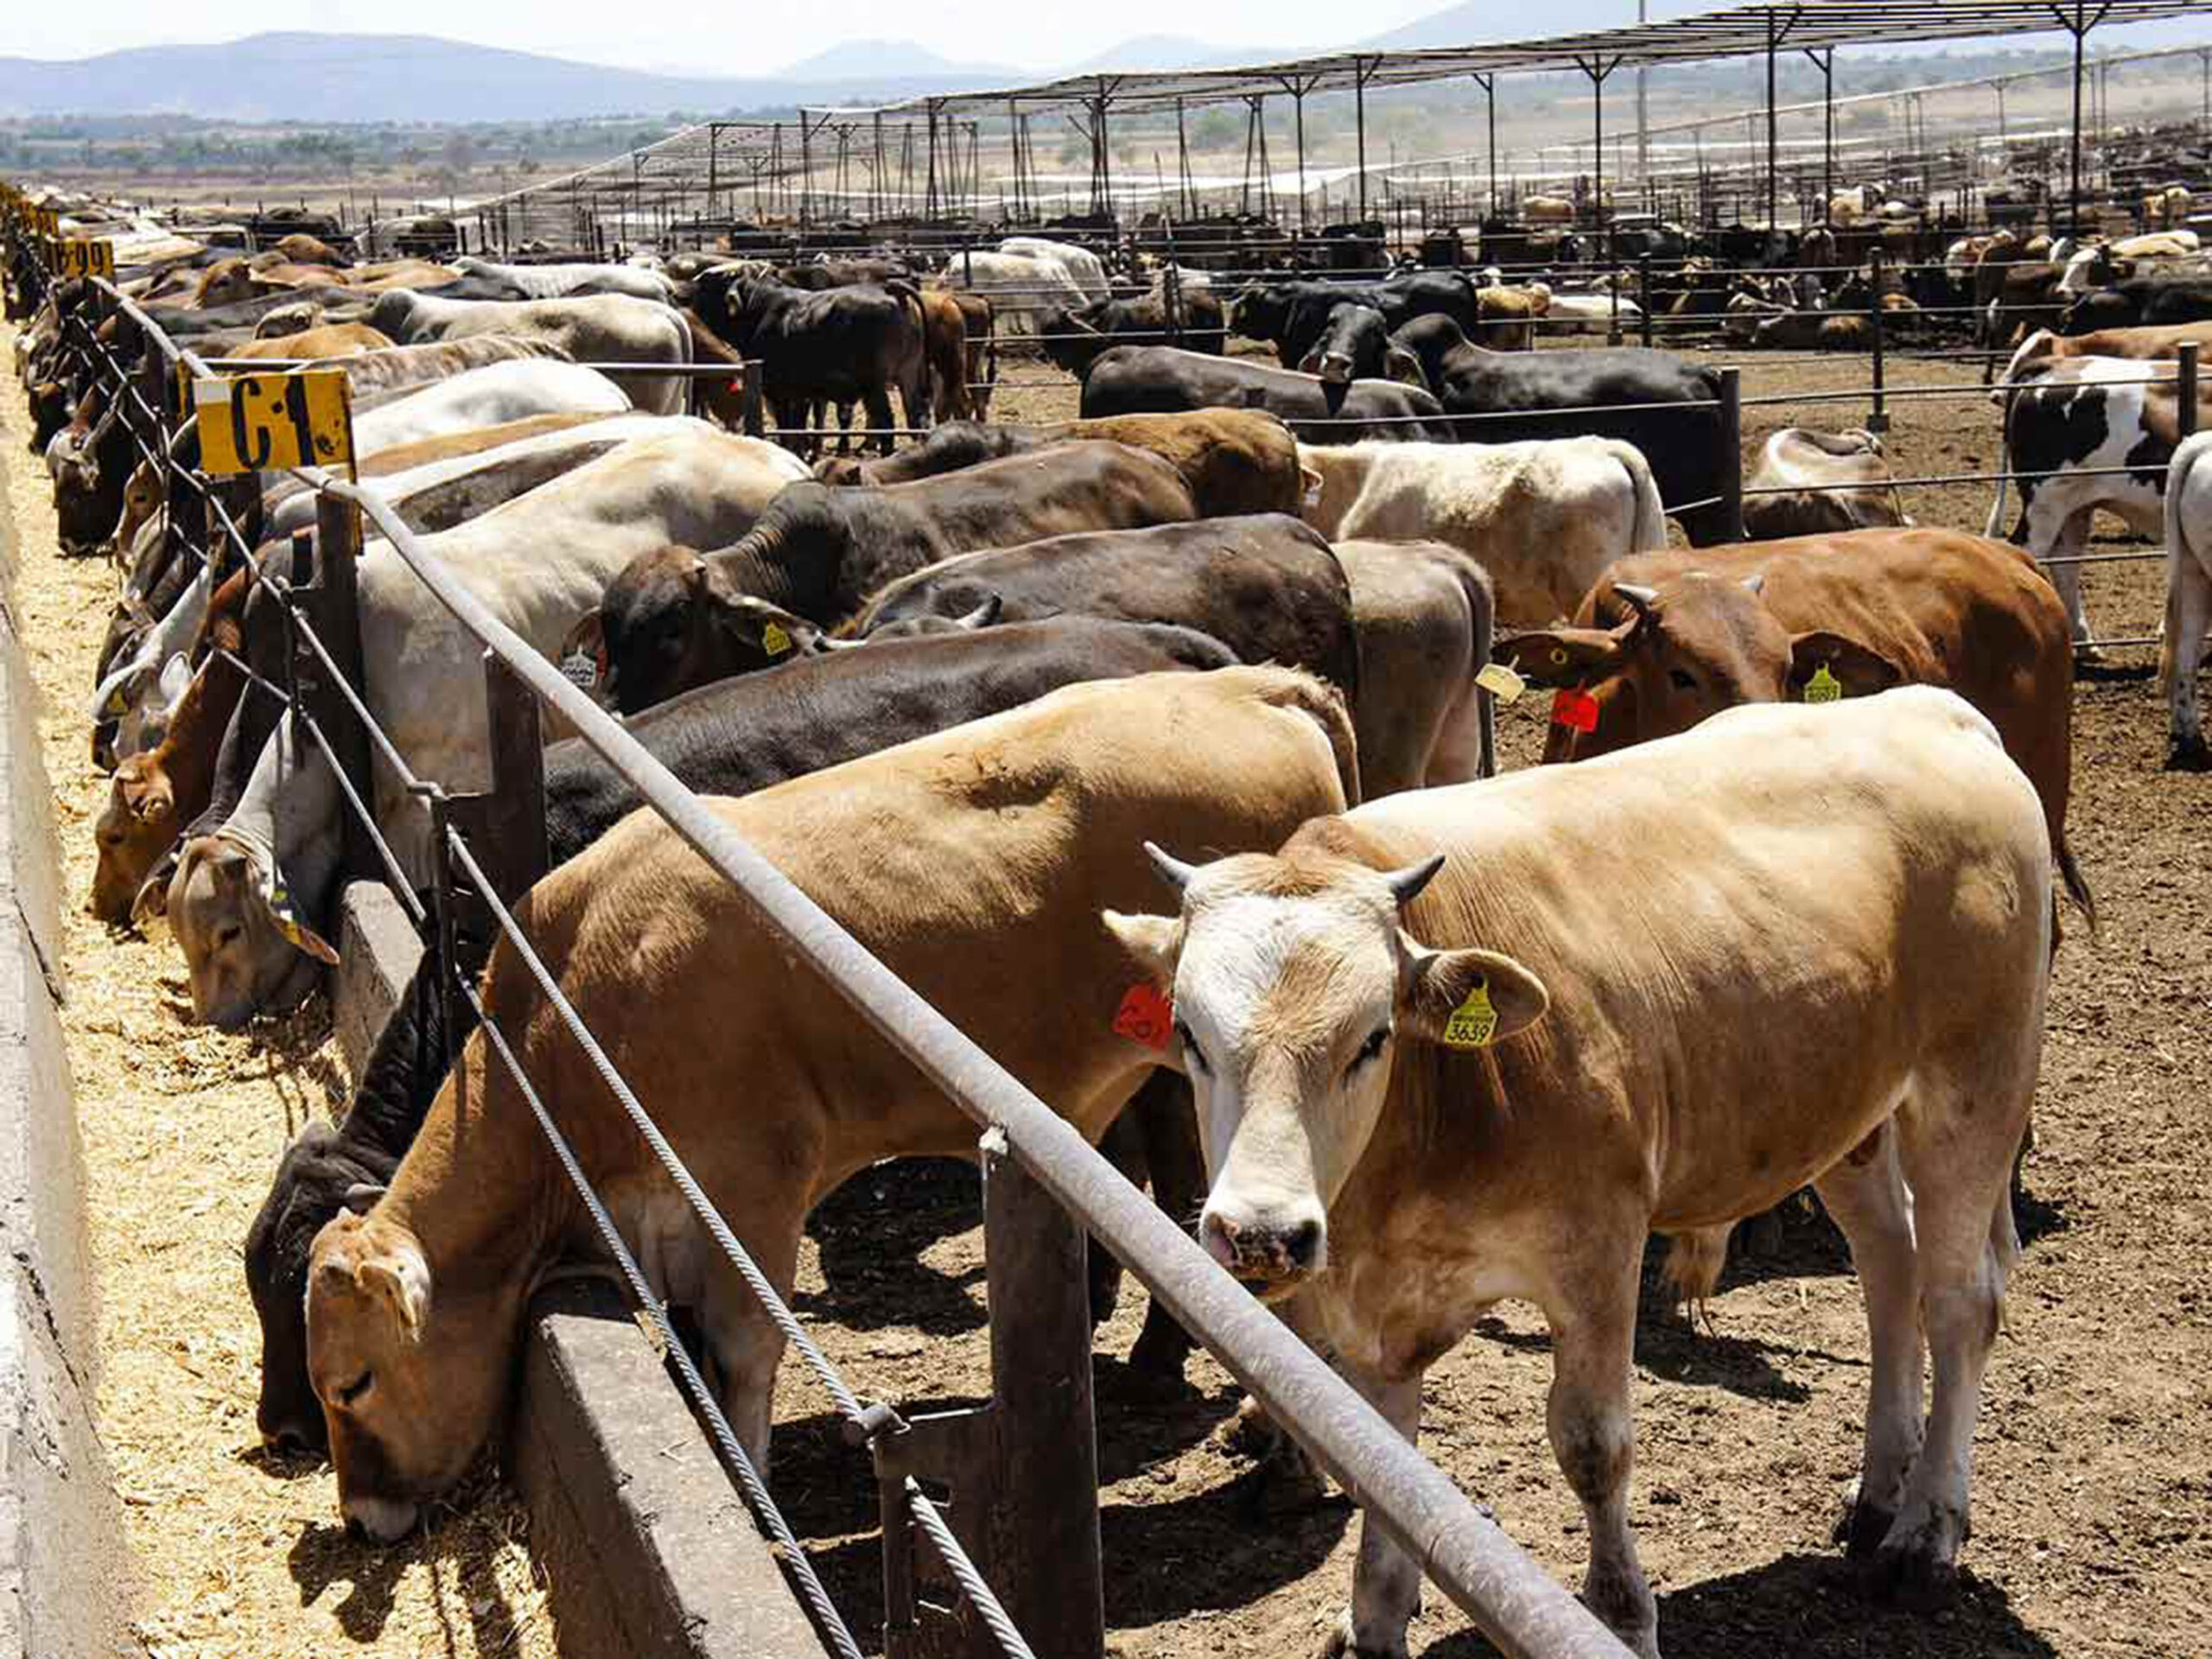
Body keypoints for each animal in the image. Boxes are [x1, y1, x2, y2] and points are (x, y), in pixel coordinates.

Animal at [1106, 685, 2052, 1659]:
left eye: (1372, 1036)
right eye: (1189, 1033)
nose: (1262, 1233)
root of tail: (1928, 707)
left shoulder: (1598, 1251)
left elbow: (1593, 1447)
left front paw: (1622, 1615)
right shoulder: (1382, 1307)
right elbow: (1381, 1453)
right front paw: (1370, 1618)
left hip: (1972, 1087)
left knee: (1960, 1301)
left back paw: (1924, 1532)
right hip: (1845, 1111)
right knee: (1888, 1271)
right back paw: (1876, 1494)